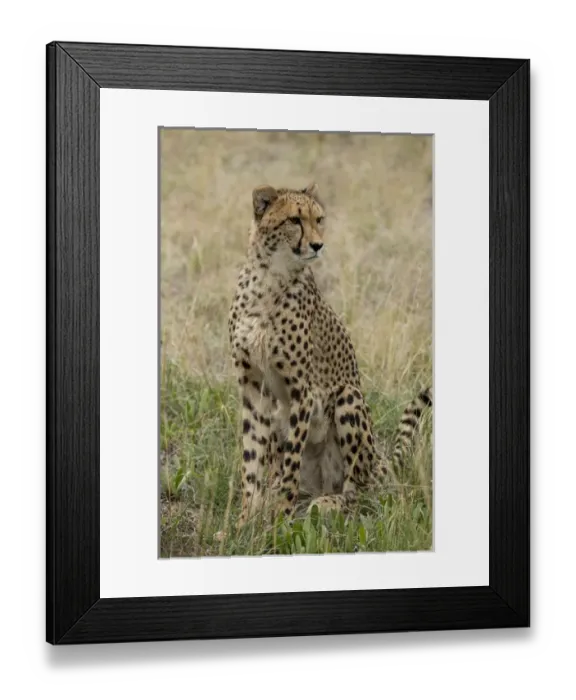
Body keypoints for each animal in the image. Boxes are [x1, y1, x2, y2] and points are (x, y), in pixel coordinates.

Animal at [228, 182, 432, 529]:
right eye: (294, 220)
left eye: (319, 219)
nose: (317, 244)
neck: (268, 277)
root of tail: (379, 462)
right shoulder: (253, 388)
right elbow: (251, 462)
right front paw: (244, 524)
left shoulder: (304, 393)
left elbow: (291, 465)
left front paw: (280, 525)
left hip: (348, 398)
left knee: (358, 491)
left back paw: (328, 503)